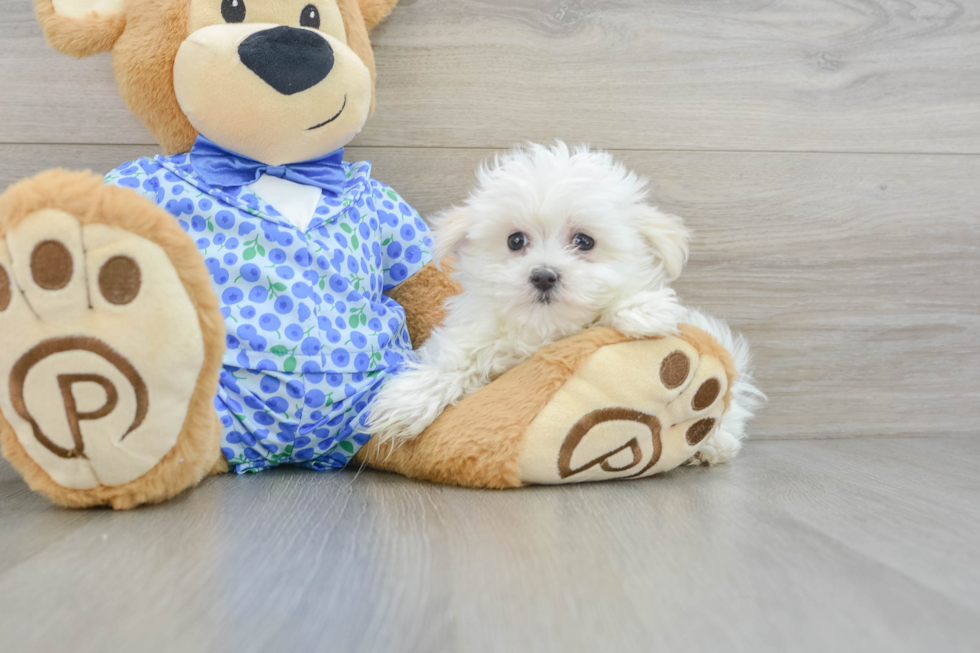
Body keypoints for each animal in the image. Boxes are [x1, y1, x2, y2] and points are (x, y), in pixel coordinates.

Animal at [368, 144, 756, 458]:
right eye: (515, 241)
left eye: (584, 241)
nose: (543, 275)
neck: (545, 327)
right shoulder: (476, 333)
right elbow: (455, 360)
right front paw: (407, 402)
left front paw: (643, 309)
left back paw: (714, 442)